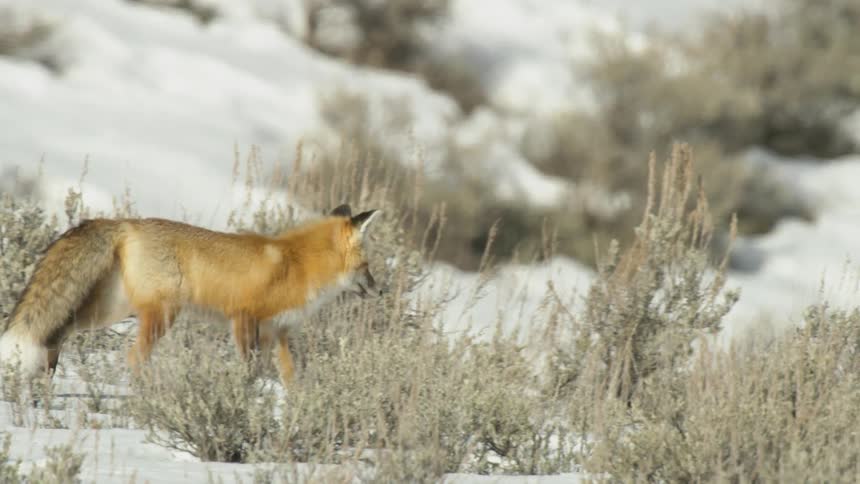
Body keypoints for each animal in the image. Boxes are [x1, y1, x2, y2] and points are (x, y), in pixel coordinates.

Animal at [0, 203, 381, 385]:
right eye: (367, 266)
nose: (381, 289)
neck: (297, 264)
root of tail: (127, 222)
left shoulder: (278, 332)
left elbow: (289, 378)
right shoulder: (244, 318)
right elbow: (249, 372)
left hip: (108, 312)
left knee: (58, 332)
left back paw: (45, 384)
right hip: (161, 315)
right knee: (133, 359)